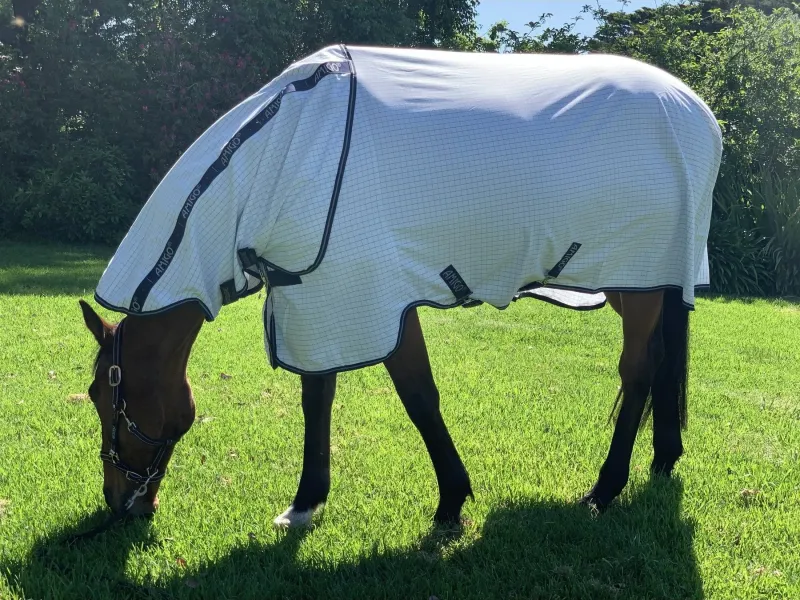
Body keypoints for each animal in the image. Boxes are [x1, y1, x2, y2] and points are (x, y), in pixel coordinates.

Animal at [78, 44, 722, 528]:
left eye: (102, 397)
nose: (120, 503)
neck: (285, 152)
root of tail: (697, 110)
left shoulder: (375, 300)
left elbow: (418, 397)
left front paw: (451, 502)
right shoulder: (319, 298)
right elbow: (318, 397)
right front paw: (306, 503)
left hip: (639, 281)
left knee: (637, 372)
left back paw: (604, 491)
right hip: (646, 281)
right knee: (662, 364)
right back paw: (662, 462)